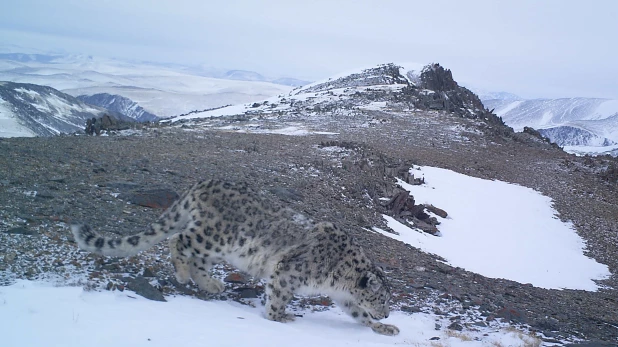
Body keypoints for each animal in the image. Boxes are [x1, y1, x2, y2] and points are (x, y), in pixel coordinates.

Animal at [70, 179, 398, 338]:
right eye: (381, 299)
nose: (386, 314)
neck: (339, 281)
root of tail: (202, 183)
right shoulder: (287, 273)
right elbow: (278, 297)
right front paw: (279, 317)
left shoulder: (343, 298)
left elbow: (359, 315)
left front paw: (382, 329)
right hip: (215, 235)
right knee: (179, 239)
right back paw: (181, 273)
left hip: (217, 248)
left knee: (198, 259)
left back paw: (211, 285)